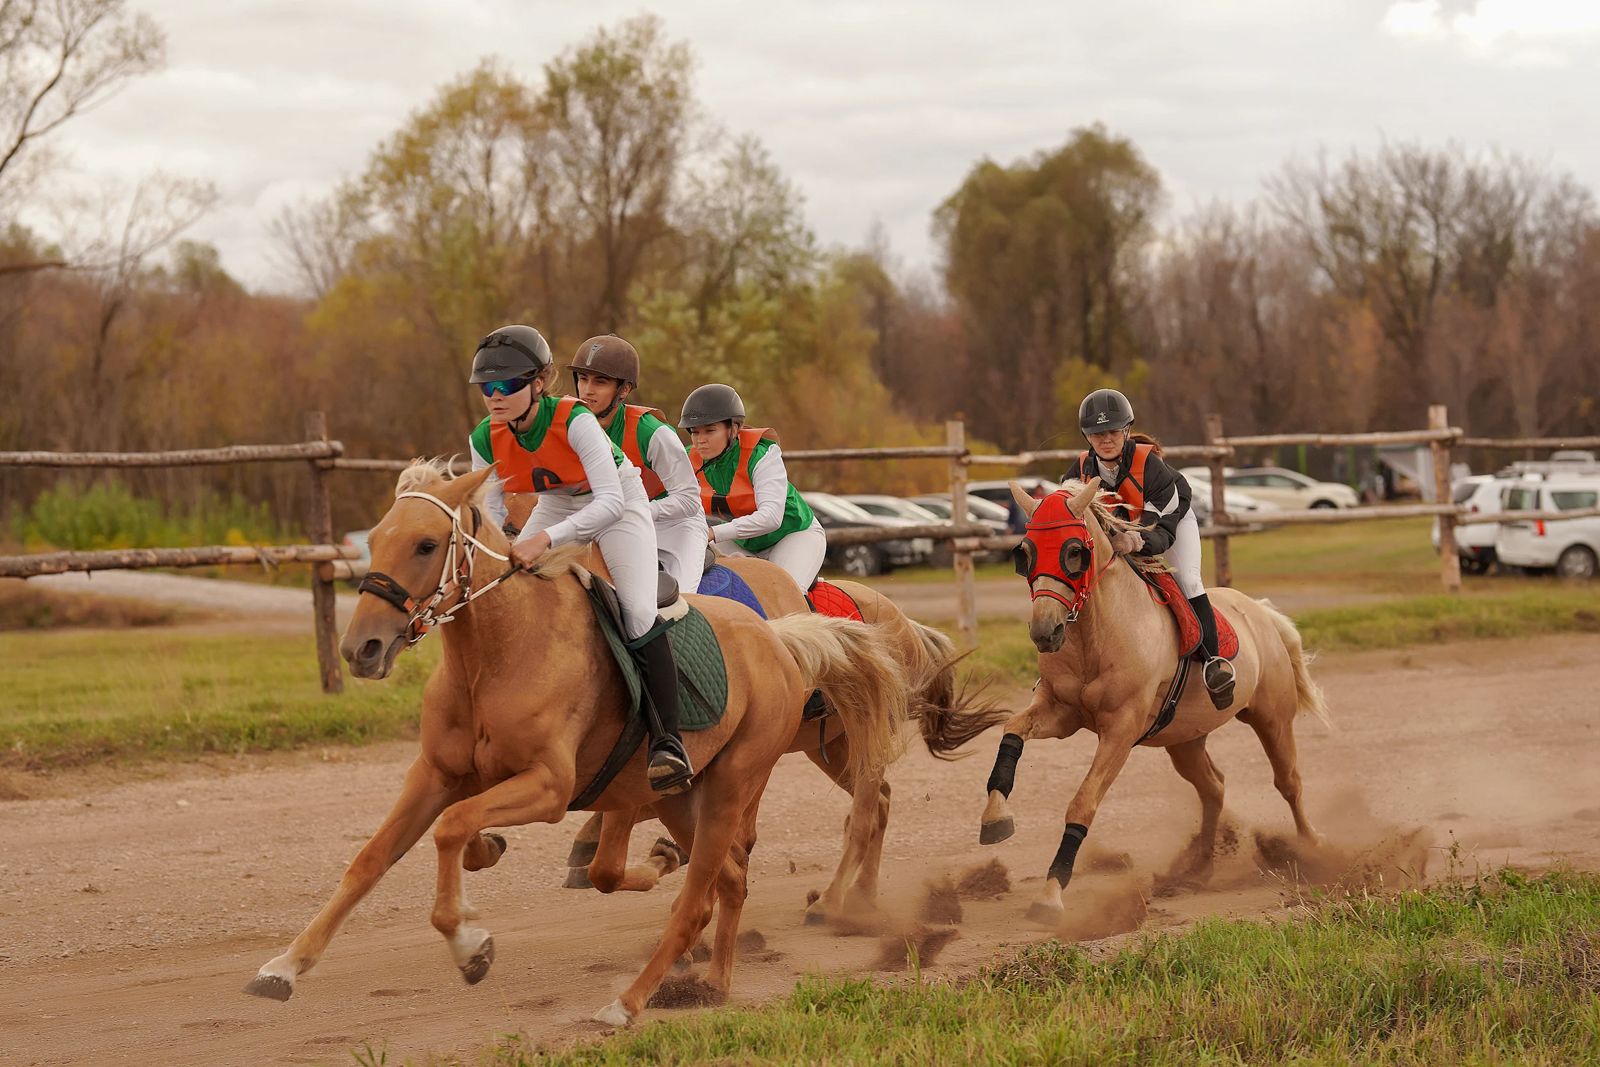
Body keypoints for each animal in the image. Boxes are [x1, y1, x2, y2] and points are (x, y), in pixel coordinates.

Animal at [243, 463, 908, 1030]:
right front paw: (284, 967)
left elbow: (454, 828)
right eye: (377, 538)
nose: (362, 649)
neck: (499, 655)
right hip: (682, 797)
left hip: (740, 781)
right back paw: (715, 977)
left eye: (427, 545)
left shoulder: (550, 787)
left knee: (720, 883)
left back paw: (630, 1001)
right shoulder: (436, 775)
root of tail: (778, 635)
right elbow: (373, 860)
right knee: (730, 878)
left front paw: (469, 944)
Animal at [556, 559, 992, 927]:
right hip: (829, 749)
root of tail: (902, 621)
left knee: (865, 815)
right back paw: (861, 896)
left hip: (861, 732)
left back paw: (831, 903)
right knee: (880, 802)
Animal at [979, 479, 1331, 921]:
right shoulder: (1060, 714)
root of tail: (1261, 612)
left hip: (1272, 718)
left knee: (1289, 783)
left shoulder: (1120, 730)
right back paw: (1198, 868)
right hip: (1185, 740)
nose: (1045, 632)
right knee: (1213, 788)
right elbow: (1011, 733)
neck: (1095, 633)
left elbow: (1082, 804)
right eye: (1024, 553)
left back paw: (1312, 848)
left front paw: (1050, 893)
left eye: (1074, 552)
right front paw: (994, 818)